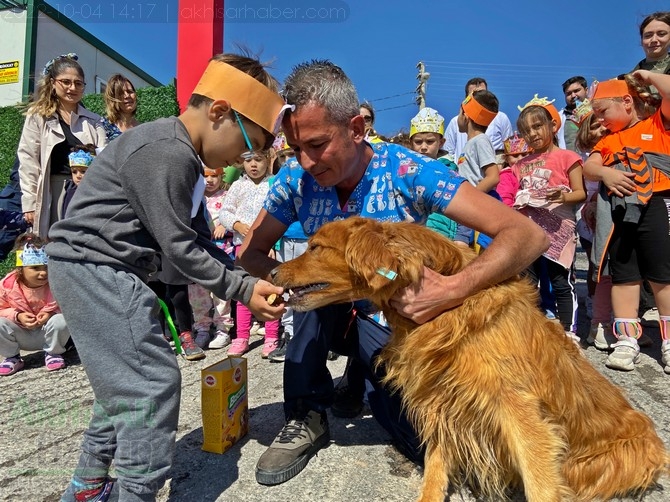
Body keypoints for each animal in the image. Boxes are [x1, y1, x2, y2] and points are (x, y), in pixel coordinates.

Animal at [270, 217, 668, 502]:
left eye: (316, 247)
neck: (443, 313)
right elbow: (435, 467)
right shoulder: (444, 403)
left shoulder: (521, 413)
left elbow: (540, 483)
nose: (271, 272)